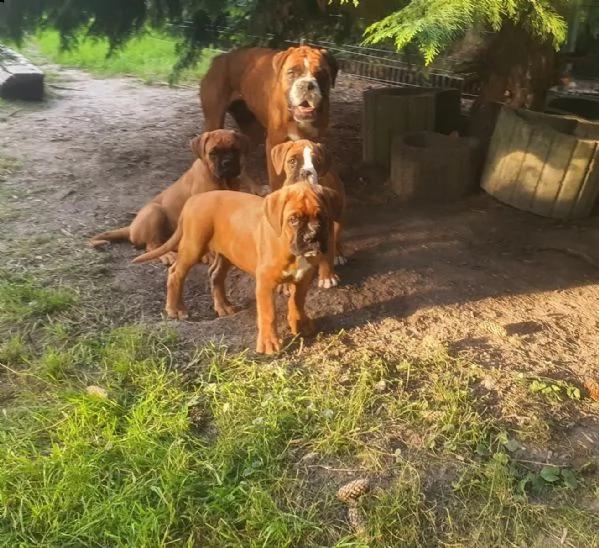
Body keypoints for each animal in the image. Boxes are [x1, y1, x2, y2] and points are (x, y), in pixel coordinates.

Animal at [89, 130, 262, 264]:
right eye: (213, 153)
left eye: (235, 150)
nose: (227, 162)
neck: (222, 179)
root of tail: (131, 227)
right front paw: (208, 254)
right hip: (154, 211)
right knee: (153, 245)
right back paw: (168, 255)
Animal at [134, 182, 344, 356]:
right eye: (294, 219)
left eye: (322, 217)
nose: (312, 237)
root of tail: (194, 200)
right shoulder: (265, 282)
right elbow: (268, 314)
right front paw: (269, 343)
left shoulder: (303, 277)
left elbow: (297, 302)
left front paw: (300, 324)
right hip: (193, 247)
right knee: (176, 273)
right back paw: (175, 309)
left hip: (227, 253)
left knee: (215, 275)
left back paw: (223, 306)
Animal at [200, 45, 338, 191]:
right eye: (291, 73)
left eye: (321, 74)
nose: (306, 85)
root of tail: (221, 57)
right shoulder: (274, 144)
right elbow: (277, 180)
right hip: (214, 122)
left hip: (253, 132)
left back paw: (256, 188)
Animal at [270, 139, 350, 288]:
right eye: (292, 161)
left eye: (317, 162)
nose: (306, 172)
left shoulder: (326, 226)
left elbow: (327, 254)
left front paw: (327, 276)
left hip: (339, 218)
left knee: (335, 239)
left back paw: (337, 254)